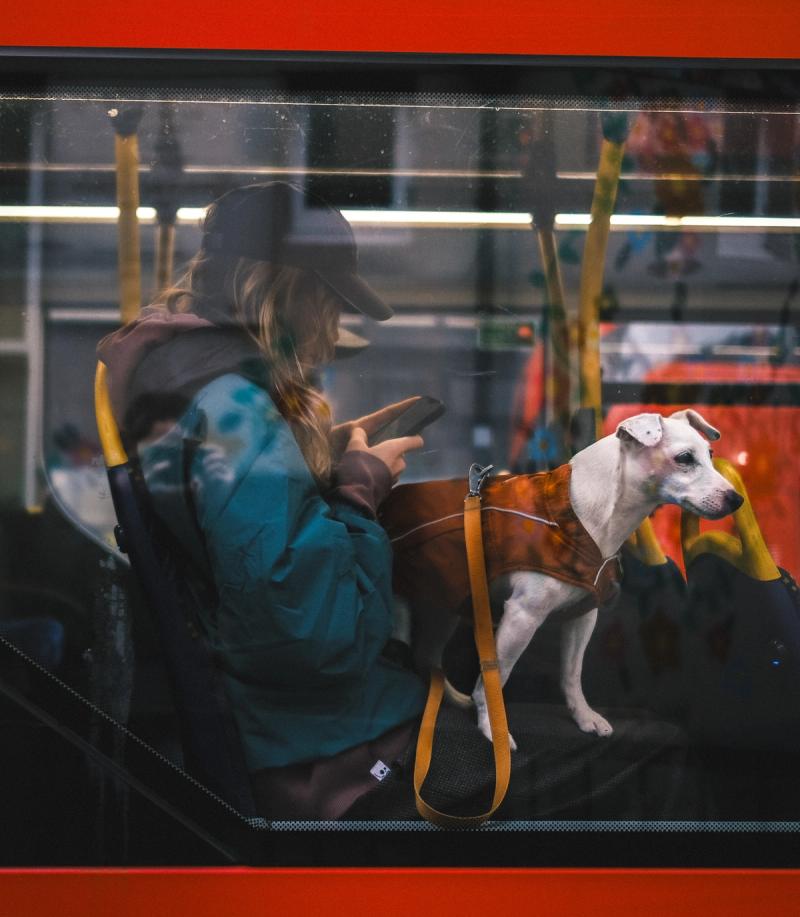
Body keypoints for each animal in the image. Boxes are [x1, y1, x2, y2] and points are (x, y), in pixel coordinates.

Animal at [384, 412, 740, 748]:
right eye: (684, 458)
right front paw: (492, 728)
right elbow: (496, 677)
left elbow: (572, 673)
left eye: (710, 453)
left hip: (445, 604)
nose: (736, 499)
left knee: (427, 657)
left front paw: (584, 717)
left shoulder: (583, 615)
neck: (590, 515)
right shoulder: (522, 616)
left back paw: (455, 698)